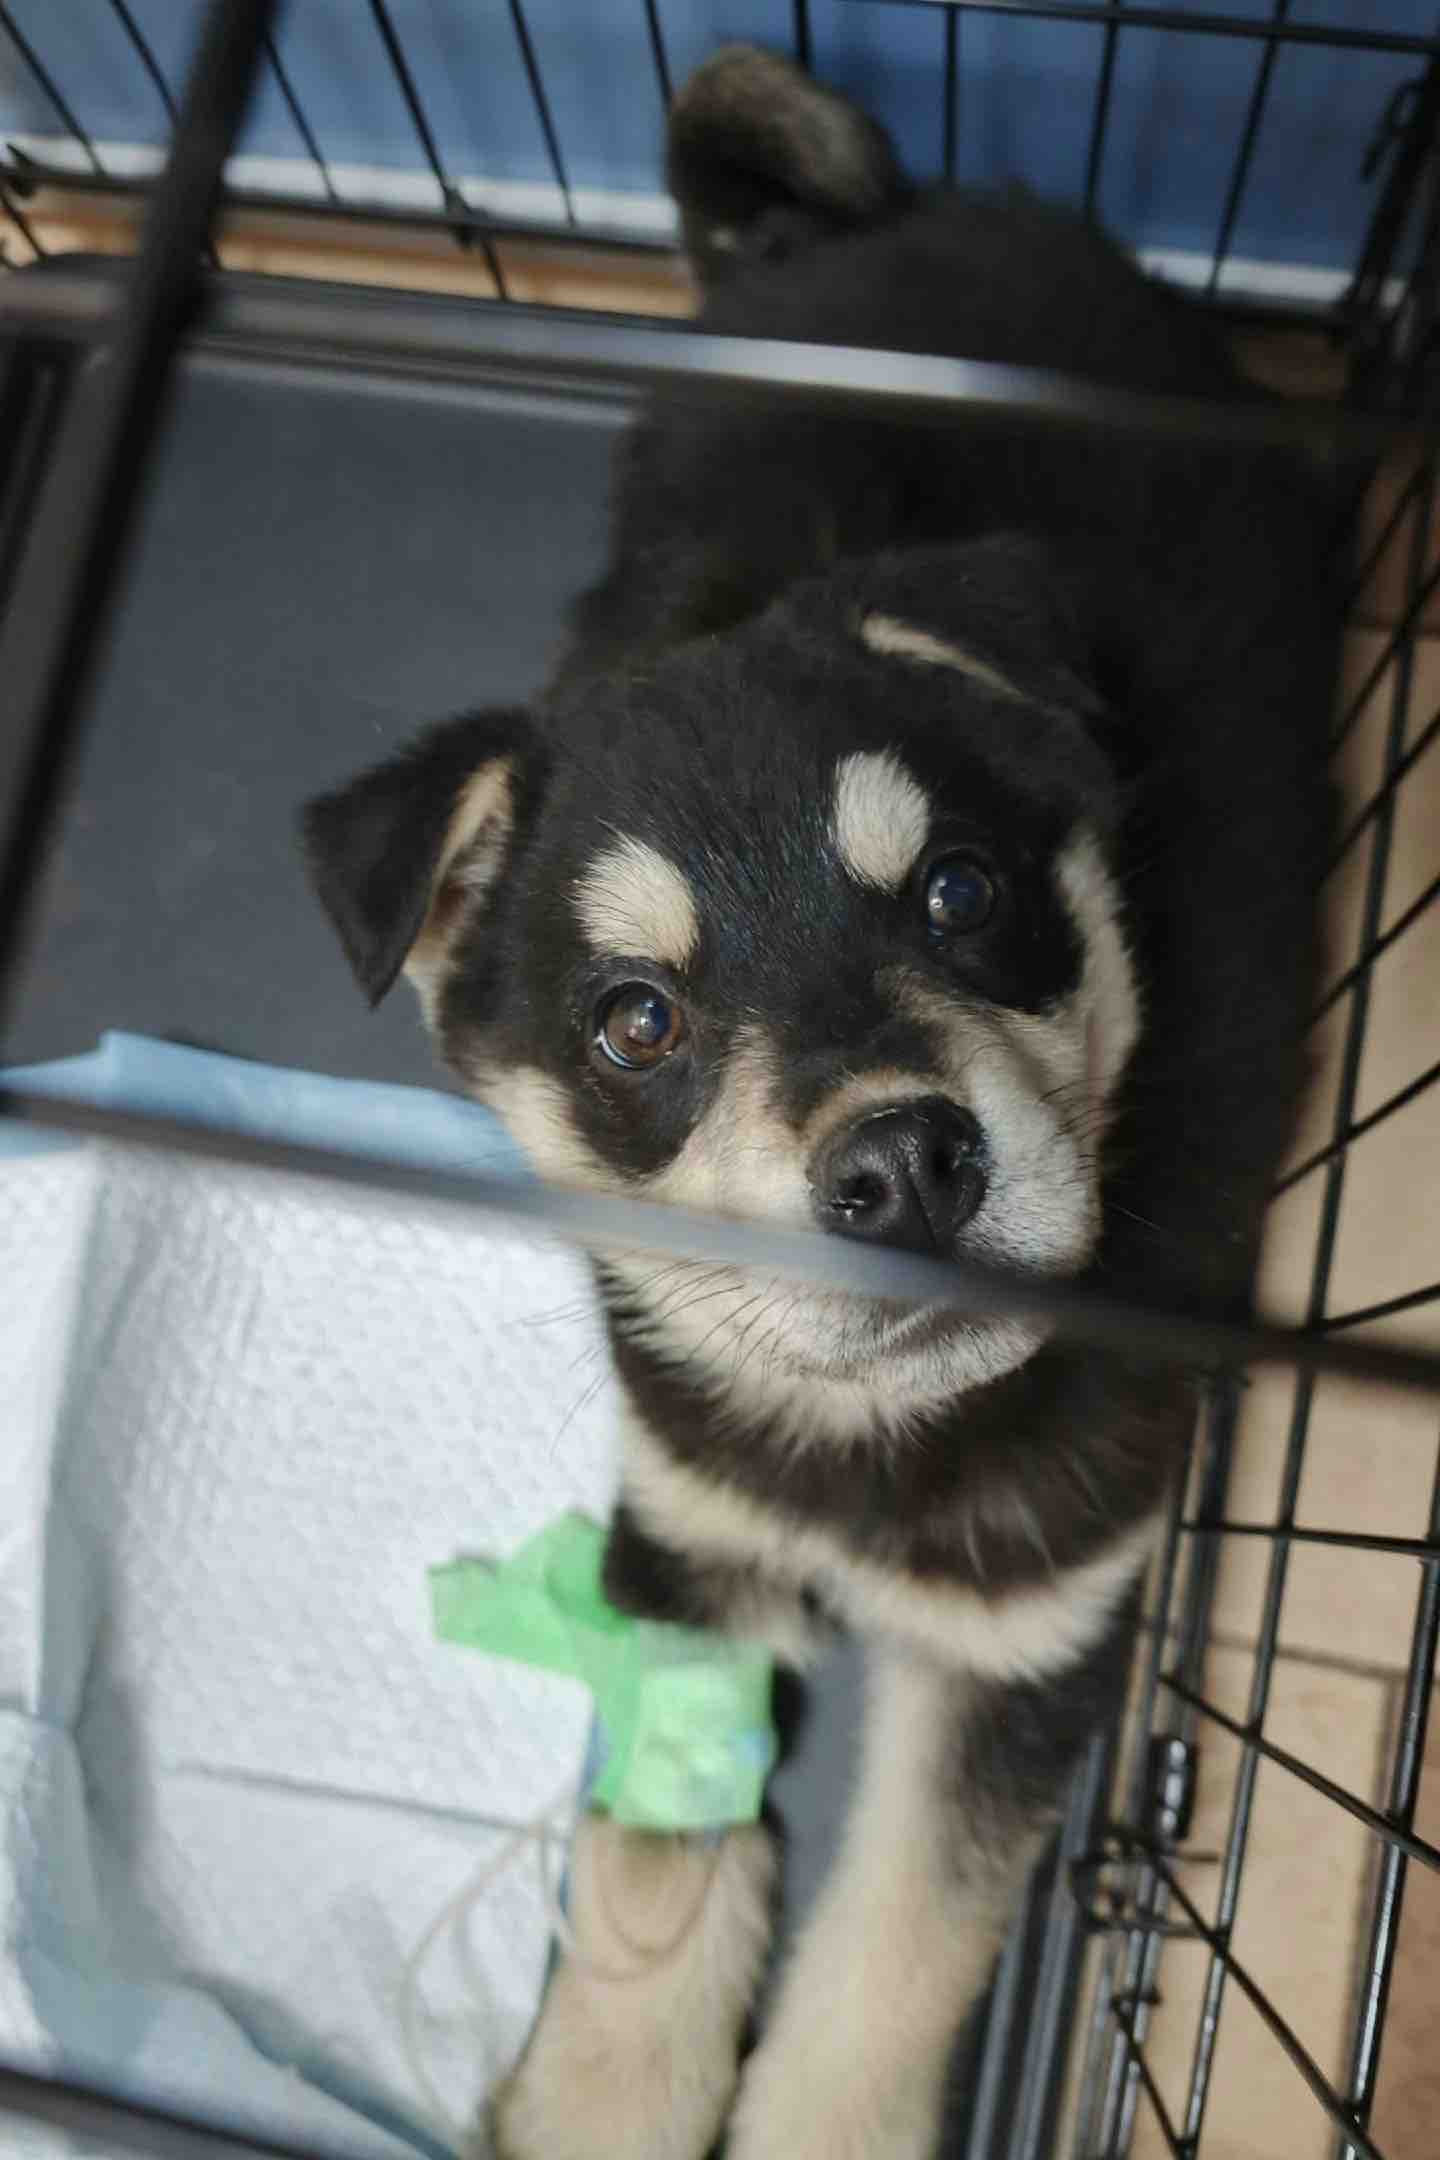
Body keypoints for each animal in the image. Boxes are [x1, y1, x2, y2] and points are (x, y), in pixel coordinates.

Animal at [301, 46, 1339, 2160]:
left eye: (959, 892)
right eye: (635, 1023)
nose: (908, 1163)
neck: (873, 1436)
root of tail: (884, 218)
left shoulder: (1030, 1638)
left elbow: (893, 1958)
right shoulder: (687, 1535)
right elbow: (651, 1858)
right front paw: (603, 2100)